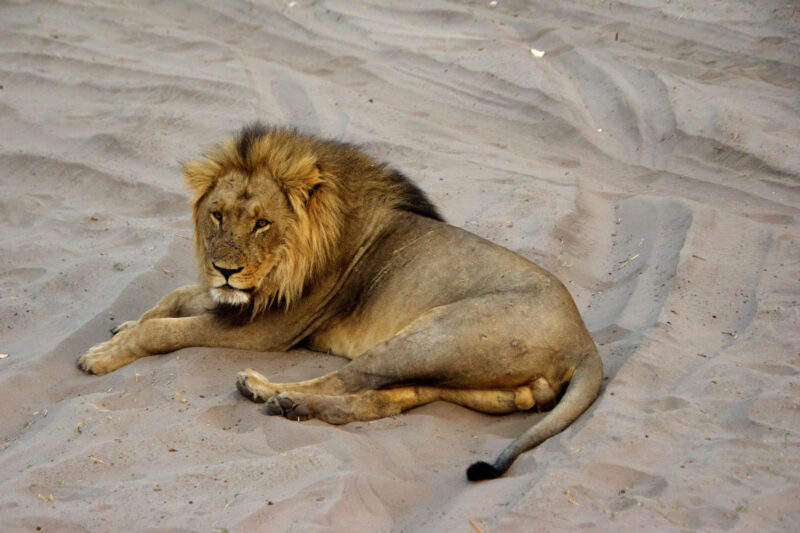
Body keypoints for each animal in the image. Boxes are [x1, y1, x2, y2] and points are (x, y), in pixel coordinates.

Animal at [78, 122, 604, 480]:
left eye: (262, 223)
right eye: (217, 215)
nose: (224, 269)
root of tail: (586, 344)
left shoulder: (268, 328)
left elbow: (163, 329)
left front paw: (102, 355)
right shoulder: (239, 300)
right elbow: (173, 298)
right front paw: (124, 326)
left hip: (431, 335)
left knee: (348, 378)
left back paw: (268, 391)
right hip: (469, 379)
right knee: (386, 399)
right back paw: (298, 408)